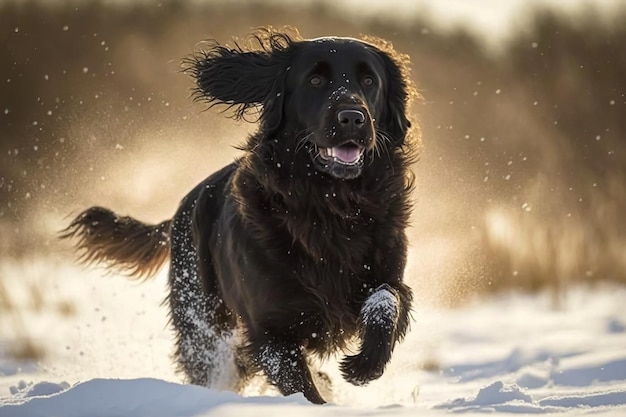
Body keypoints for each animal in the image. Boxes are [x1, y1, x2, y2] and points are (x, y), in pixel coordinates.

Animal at [61, 28, 416, 404]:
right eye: (315, 79)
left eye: (369, 80)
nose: (352, 117)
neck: (328, 204)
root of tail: (179, 211)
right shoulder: (269, 329)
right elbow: (301, 388)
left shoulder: (387, 272)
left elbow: (387, 300)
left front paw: (364, 364)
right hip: (203, 323)